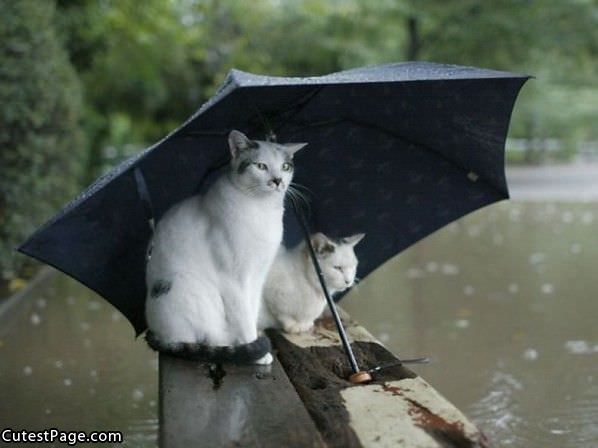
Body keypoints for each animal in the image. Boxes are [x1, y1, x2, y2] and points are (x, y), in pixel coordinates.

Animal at [144, 130, 308, 364]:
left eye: (285, 167)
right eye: (261, 166)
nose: (277, 181)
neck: (262, 210)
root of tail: (155, 333)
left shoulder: (258, 276)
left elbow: (252, 310)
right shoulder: (233, 280)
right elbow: (244, 318)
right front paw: (257, 352)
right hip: (193, 290)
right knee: (204, 339)